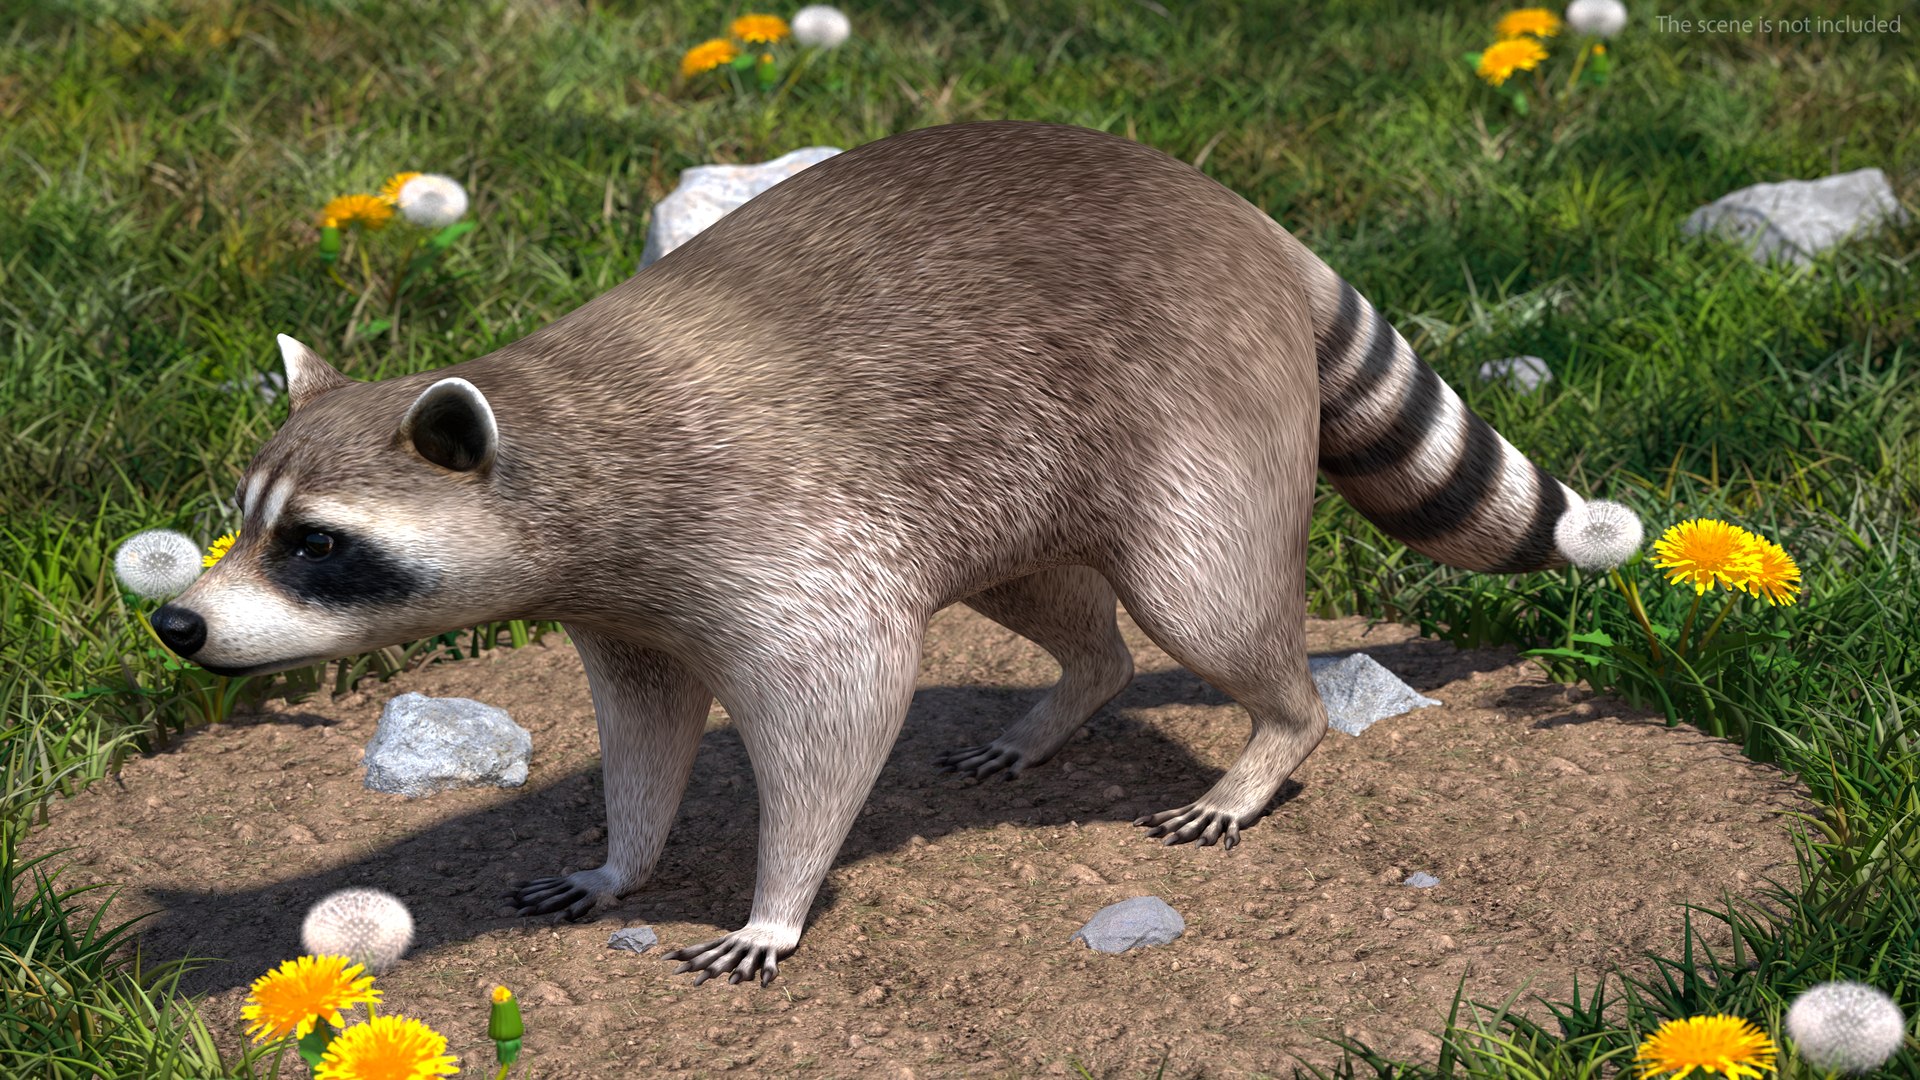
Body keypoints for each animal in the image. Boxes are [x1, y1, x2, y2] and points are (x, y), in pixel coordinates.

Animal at [150, 121, 1639, 986]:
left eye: (317, 545)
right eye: (245, 520)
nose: (178, 625)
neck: (566, 449)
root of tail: (1239, 210)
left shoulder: (775, 532)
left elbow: (838, 711)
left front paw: (776, 901)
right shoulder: (628, 603)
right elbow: (644, 729)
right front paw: (626, 856)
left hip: (1192, 413)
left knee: (1206, 601)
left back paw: (1272, 736)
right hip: (1011, 467)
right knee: (1053, 600)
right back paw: (1074, 692)